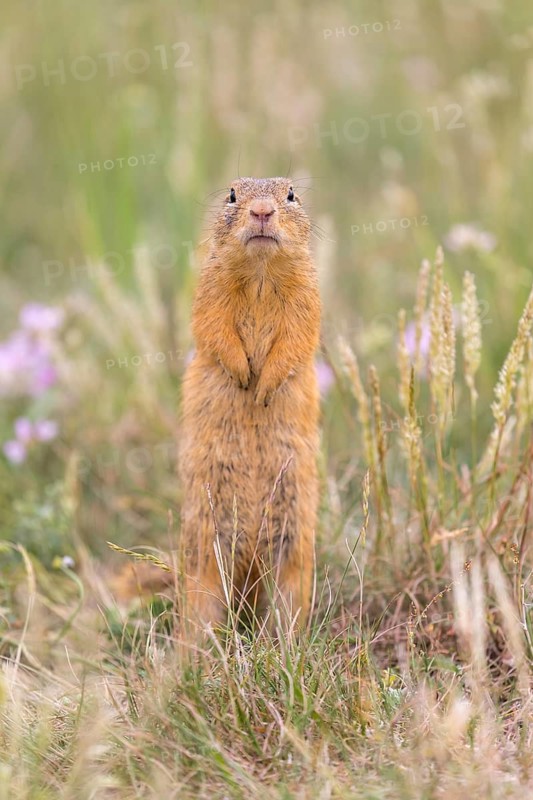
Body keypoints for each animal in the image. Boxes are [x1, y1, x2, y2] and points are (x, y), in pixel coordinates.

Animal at [178, 176, 321, 635]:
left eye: (291, 194)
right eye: (231, 194)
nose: (261, 212)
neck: (260, 273)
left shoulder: (309, 298)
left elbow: (298, 337)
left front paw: (263, 388)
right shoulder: (209, 290)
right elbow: (213, 328)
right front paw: (244, 376)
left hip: (293, 547)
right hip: (205, 552)